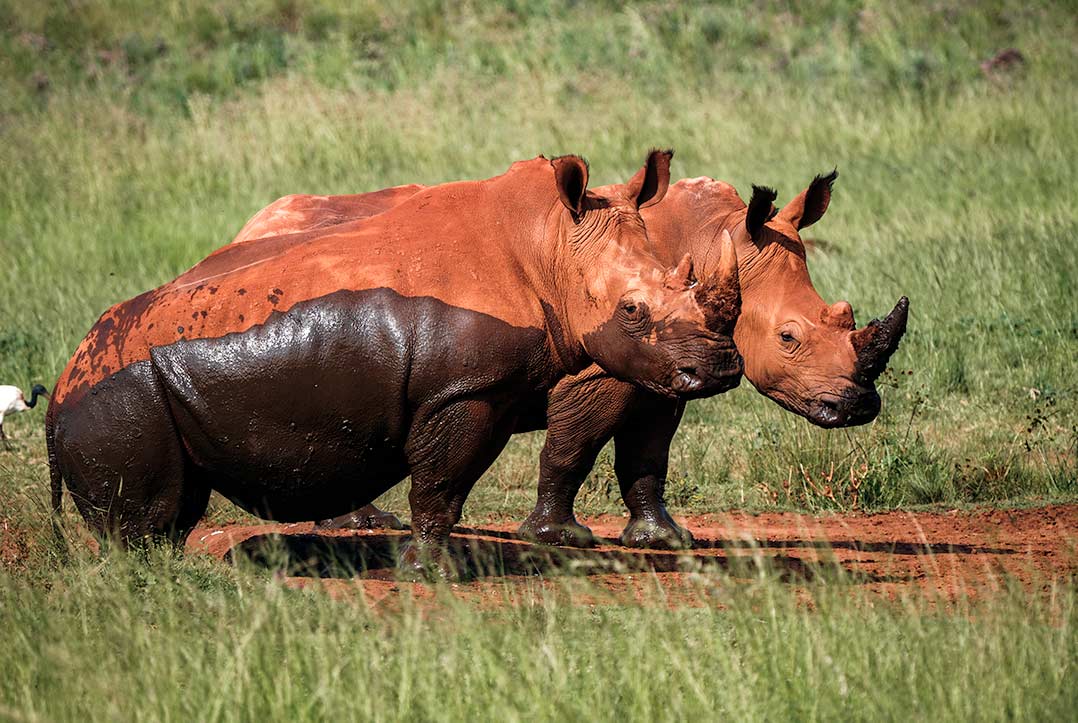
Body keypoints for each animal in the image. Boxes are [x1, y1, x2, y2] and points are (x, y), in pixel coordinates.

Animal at [46, 153, 745, 577]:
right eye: (631, 309)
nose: (721, 368)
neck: (548, 246)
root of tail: (54, 397)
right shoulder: (462, 391)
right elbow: (442, 483)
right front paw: (431, 572)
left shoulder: (486, 389)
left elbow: (447, 482)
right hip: (119, 395)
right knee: (148, 512)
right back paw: (152, 578)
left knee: (178, 501)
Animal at [231, 168, 905, 549]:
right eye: (789, 338)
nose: (858, 406)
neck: (712, 237)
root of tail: (245, 230)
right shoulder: (603, 367)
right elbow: (573, 448)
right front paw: (560, 538)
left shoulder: (667, 371)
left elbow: (647, 456)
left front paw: (664, 540)